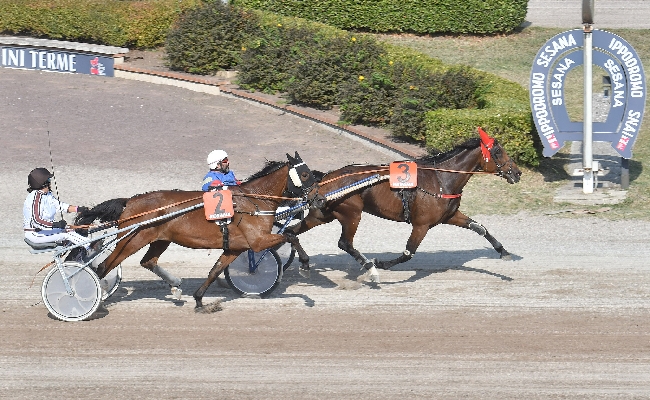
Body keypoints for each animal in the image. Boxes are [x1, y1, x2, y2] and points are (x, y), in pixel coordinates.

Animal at [76, 152, 316, 306]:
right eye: (305, 174)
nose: (318, 198)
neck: (254, 201)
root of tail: (130, 201)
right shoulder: (257, 241)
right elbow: (291, 235)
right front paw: (305, 265)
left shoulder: (236, 247)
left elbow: (215, 270)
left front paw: (199, 298)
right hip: (132, 239)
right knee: (104, 265)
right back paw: (95, 295)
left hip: (160, 239)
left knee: (148, 261)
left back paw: (175, 286)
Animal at [288, 128, 520, 282]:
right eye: (498, 152)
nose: (517, 173)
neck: (441, 180)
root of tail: (326, 179)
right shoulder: (421, 224)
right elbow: (409, 253)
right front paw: (381, 263)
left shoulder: (450, 216)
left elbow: (480, 228)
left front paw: (503, 251)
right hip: (352, 214)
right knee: (344, 243)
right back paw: (370, 268)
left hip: (323, 213)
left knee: (292, 231)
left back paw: (304, 264)